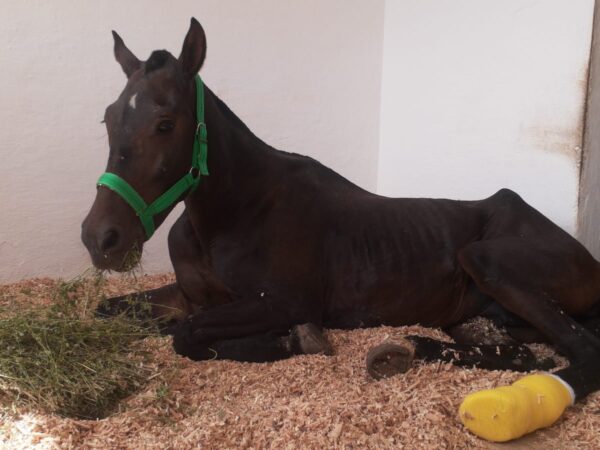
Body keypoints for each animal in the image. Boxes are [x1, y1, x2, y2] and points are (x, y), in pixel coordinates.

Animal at [82, 18, 600, 442]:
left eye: (165, 123)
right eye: (108, 117)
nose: (100, 239)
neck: (237, 213)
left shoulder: (284, 302)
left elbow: (187, 336)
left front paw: (292, 341)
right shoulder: (192, 295)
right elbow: (110, 313)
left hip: (484, 260)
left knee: (581, 349)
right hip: (473, 316)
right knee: (520, 354)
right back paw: (405, 350)